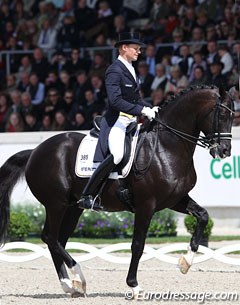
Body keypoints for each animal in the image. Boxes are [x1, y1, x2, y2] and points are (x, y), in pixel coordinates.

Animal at [0, 85, 234, 296]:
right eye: (222, 114)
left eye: (234, 116)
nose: (224, 151)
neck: (166, 147)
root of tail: (35, 151)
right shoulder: (146, 205)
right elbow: (138, 244)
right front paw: (134, 285)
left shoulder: (175, 200)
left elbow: (203, 216)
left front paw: (185, 262)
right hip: (56, 204)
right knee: (50, 237)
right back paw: (76, 278)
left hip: (73, 207)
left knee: (58, 240)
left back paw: (71, 284)